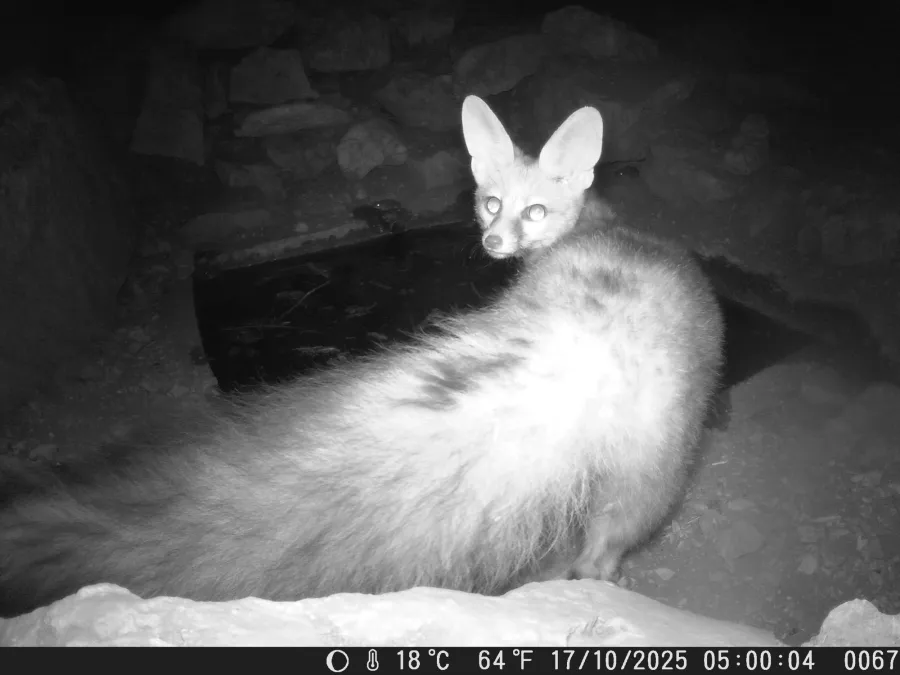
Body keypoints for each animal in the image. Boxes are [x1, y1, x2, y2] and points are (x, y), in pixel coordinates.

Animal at [0, 96, 723, 620]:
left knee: (600, 552)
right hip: (640, 480)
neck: (609, 231)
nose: (492, 242)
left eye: (536, 210)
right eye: (490, 200)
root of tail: (576, 352)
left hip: (651, 475)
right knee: (595, 556)